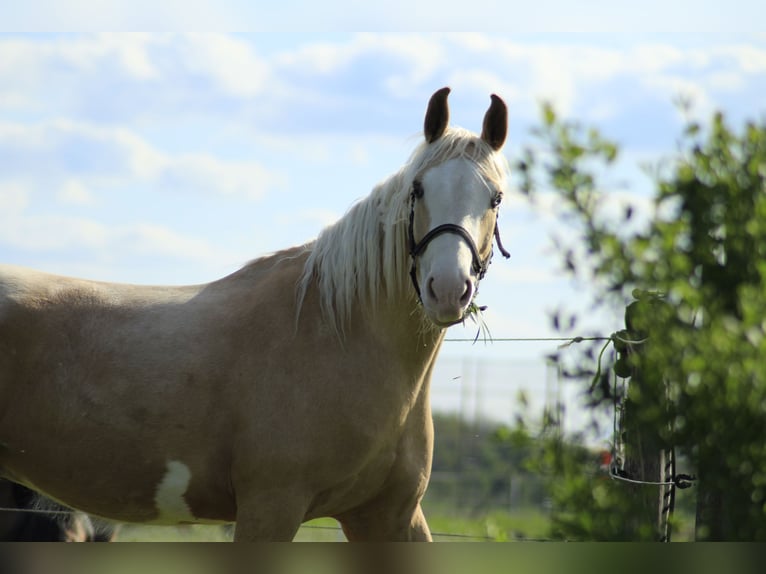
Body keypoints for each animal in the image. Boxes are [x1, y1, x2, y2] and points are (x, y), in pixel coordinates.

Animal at [1, 88, 516, 544]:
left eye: (495, 198)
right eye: (418, 189)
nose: (447, 289)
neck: (337, 334)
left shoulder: (389, 515)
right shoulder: (271, 507)